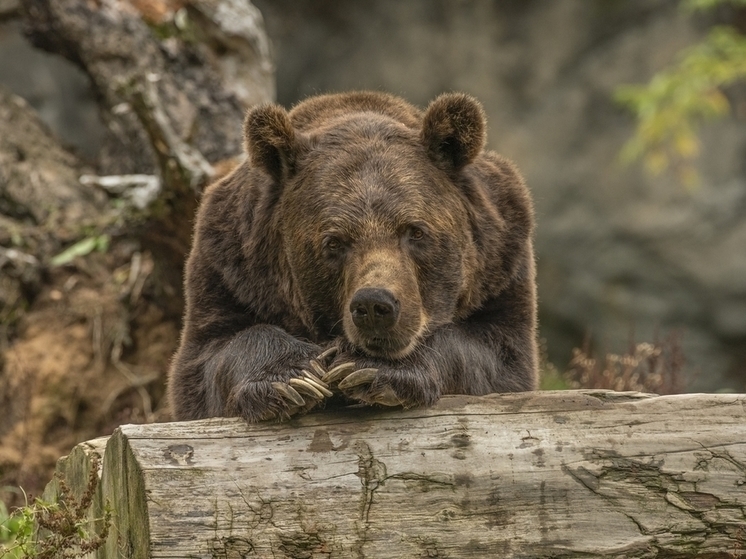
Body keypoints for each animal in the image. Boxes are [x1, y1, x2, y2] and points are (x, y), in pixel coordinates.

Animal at [169, 91, 536, 424]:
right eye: (334, 241)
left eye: (415, 231)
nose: (374, 305)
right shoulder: (230, 268)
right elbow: (209, 358)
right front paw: (294, 378)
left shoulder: (501, 264)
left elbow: (496, 356)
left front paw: (369, 368)